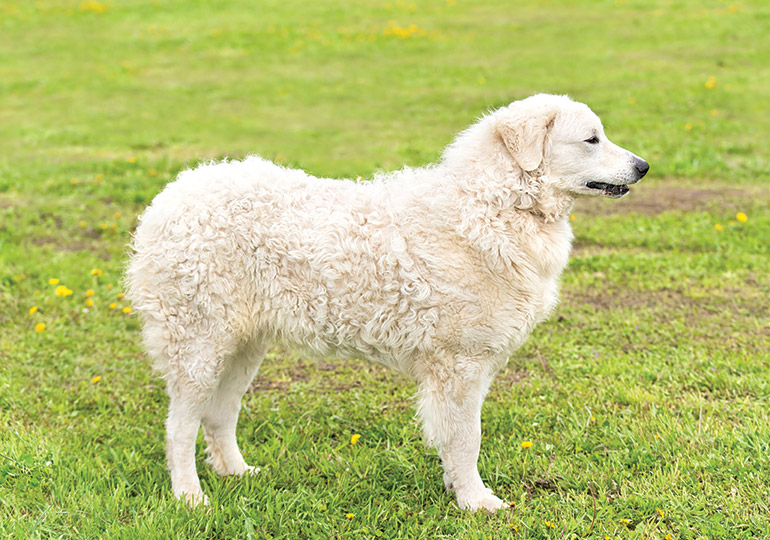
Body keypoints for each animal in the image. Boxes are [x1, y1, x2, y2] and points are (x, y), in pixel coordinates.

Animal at [126, 94, 648, 511]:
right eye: (591, 140)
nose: (643, 167)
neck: (495, 205)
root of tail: (172, 195)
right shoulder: (459, 364)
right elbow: (468, 439)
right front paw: (477, 503)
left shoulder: (473, 366)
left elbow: (456, 439)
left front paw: (458, 491)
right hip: (198, 345)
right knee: (179, 428)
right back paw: (190, 498)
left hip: (242, 346)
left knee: (218, 415)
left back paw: (237, 473)